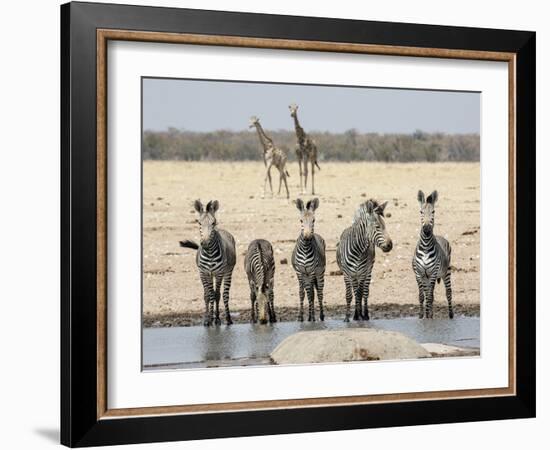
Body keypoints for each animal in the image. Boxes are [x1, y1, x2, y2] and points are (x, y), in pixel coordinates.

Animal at [414, 190, 458, 320]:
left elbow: (429, 297)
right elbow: (423, 296)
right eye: (421, 212)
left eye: (433, 212)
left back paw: (450, 315)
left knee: (448, 293)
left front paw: (428, 317)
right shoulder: (419, 273)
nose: (427, 229)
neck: (425, 246)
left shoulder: (433, 273)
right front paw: (422, 316)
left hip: (446, 271)